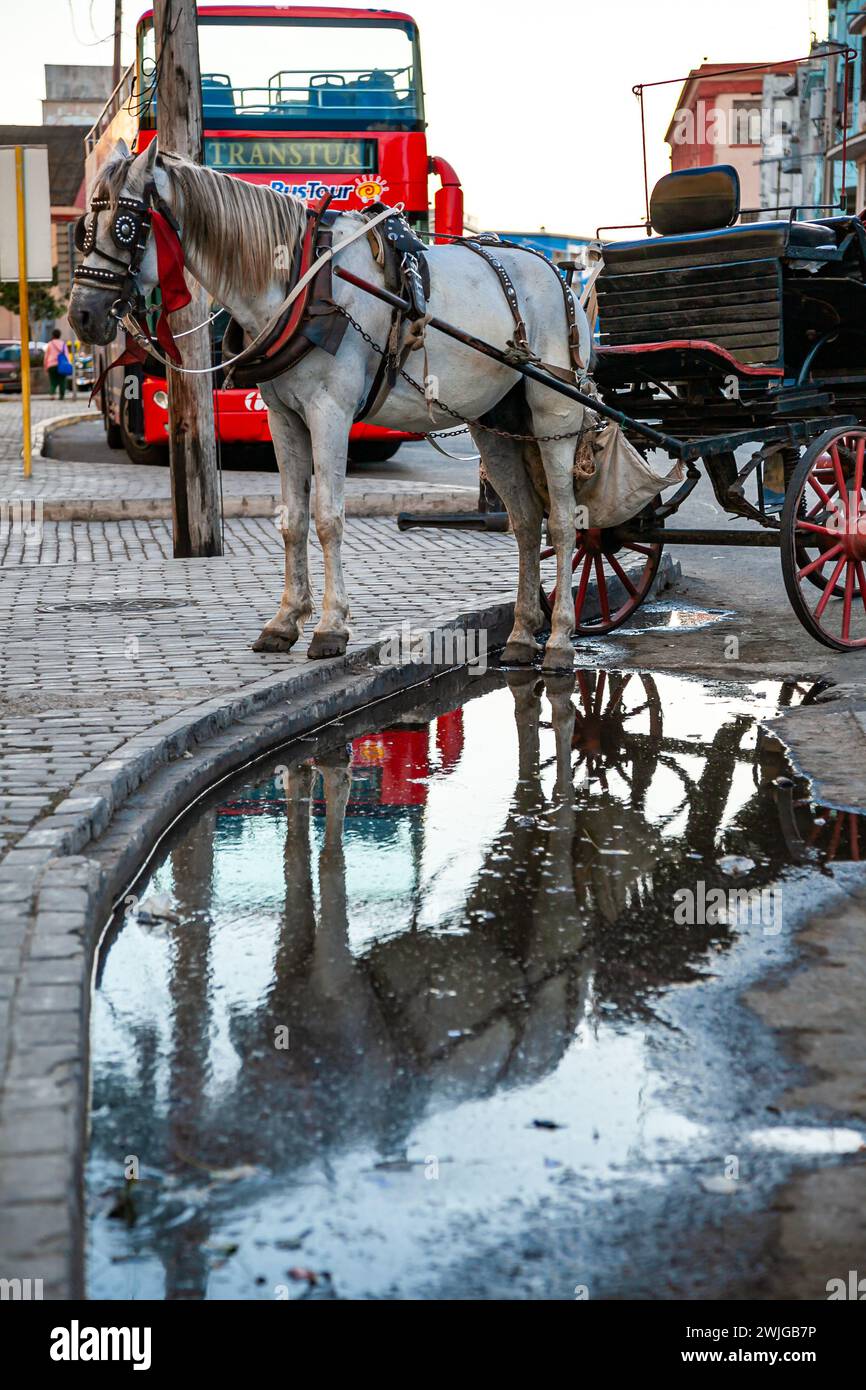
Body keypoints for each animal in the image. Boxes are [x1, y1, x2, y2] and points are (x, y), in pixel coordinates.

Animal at [71, 138, 592, 669]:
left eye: (126, 225)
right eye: (84, 228)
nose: (81, 315)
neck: (301, 282)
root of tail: (558, 271)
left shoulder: (330, 414)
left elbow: (327, 518)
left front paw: (329, 627)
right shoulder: (284, 418)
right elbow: (293, 519)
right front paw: (284, 621)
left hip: (555, 414)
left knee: (564, 521)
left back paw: (559, 639)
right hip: (494, 422)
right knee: (525, 521)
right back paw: (522, 634)